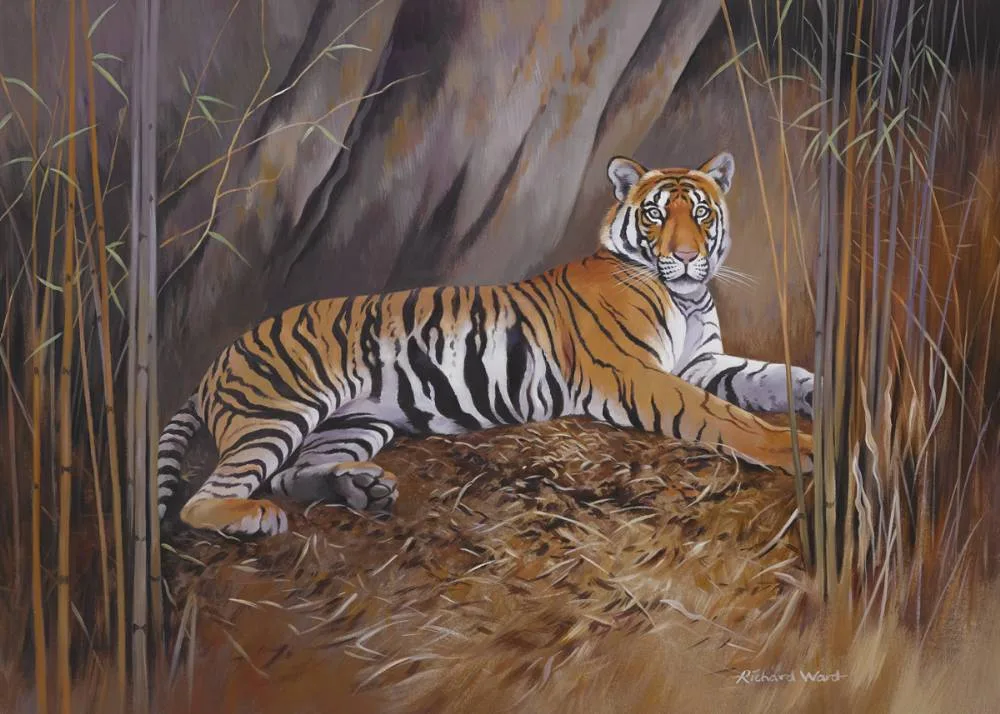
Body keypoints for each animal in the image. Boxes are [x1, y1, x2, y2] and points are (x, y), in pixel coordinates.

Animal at [157, 152, 815, 536]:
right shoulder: (636, 372)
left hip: (357, 422)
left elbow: (775, 378)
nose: (683, 256)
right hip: (279, 410)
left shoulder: (703, 362)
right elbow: (725, 416)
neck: (686, 295)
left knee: (290, 473)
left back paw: (361, 488)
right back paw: (254, 518)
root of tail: (215, 361)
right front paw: (798, 449)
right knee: (211, 496)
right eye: (655, 215)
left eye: (700, 213)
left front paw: (817, 398)